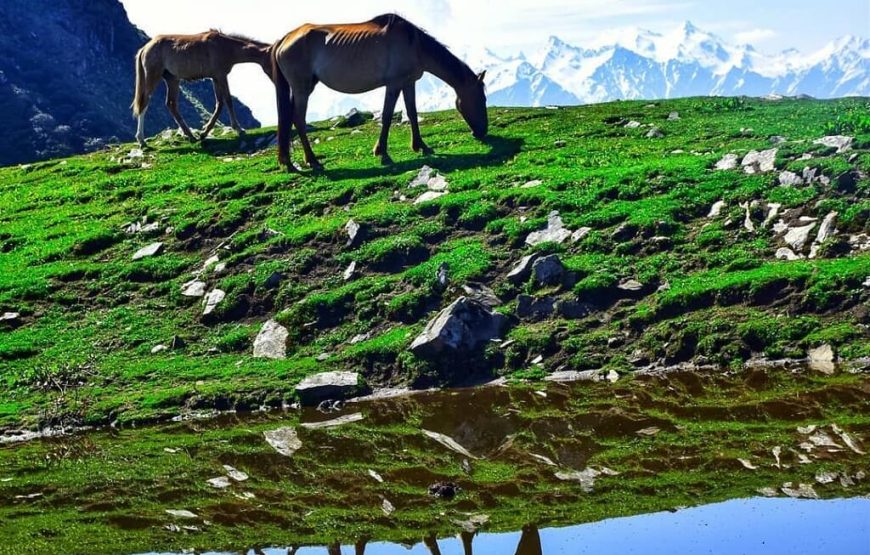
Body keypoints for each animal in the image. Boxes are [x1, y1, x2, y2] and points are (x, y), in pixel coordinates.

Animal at [130, 30, 270, 146]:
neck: (225, 46)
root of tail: (145, 48)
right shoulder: (221, 76)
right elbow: (227, 101)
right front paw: (239, 129)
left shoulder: (215, 78)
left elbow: (220, 103)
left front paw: (204, 132)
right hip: (153, 77)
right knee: (144, 103)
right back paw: (141, 140)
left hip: (172, 79)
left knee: (171, 104)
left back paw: (191, 136)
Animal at [274, 13, 490, 169]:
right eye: (482, 99)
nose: (482, 132)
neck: (415, 44)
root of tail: (284, 40)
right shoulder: (393, 84)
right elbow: (386, 116)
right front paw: (382, 153)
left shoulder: (408, 83)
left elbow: (412, 113)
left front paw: (421, 146)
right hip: (302, 88)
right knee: (298, 119)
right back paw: (312, 160)